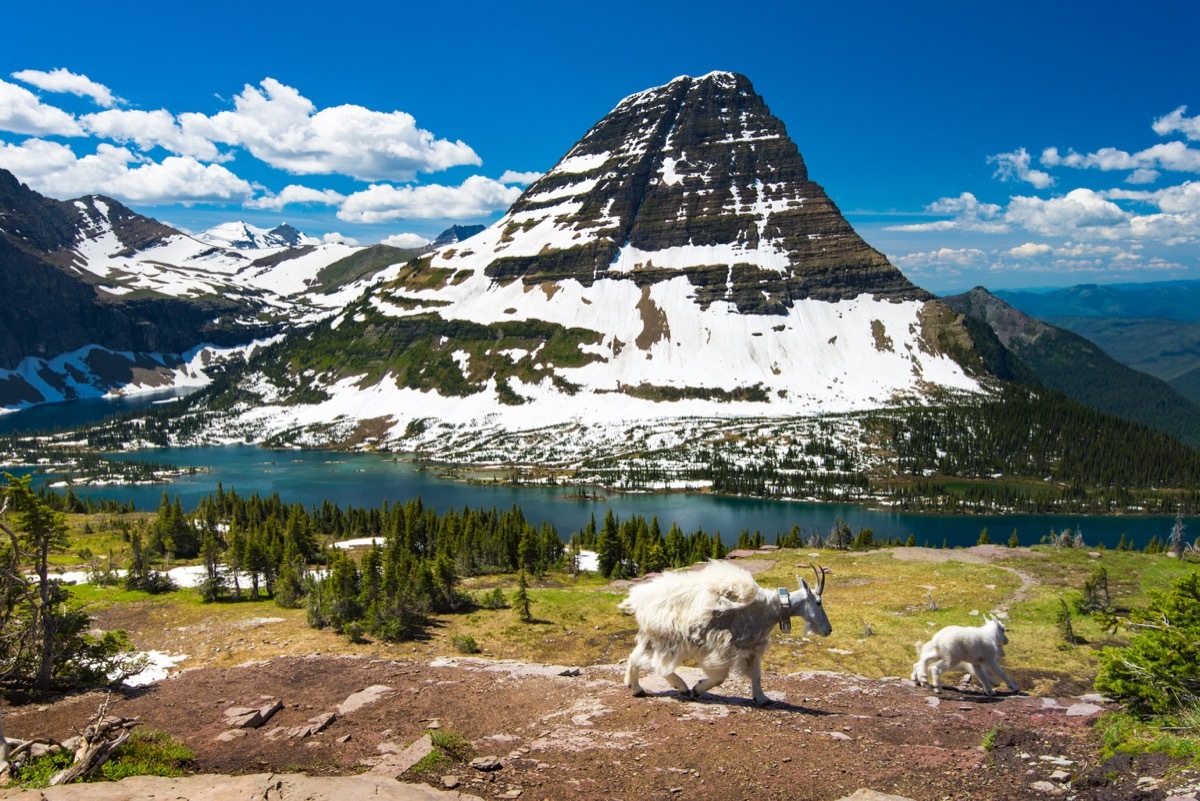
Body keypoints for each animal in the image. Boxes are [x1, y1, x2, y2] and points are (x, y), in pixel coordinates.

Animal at [624, 561, 830, 705]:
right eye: (818, 602)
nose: (828, 630)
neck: (769, 609)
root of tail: (639, 599)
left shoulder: (752, 646)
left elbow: (756, 674)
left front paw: (762, 698)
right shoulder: (723, 644)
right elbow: (720, 676)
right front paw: (698, 688)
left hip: (651, 637)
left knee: (635, 657)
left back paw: (636, 688)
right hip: (668, 637)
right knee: (659, 665)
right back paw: (681, 687)